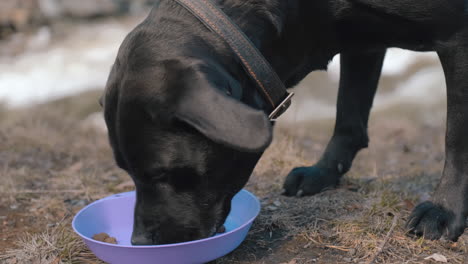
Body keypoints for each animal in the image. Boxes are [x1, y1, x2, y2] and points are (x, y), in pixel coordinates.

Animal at [99, 0, 468, 245]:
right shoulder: (361, 40)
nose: (139, 243)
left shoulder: (457, 34)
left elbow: (455, 136)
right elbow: (348, 116)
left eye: (163, 174)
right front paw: (323, 172)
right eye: (127, 172)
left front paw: (444, 209)